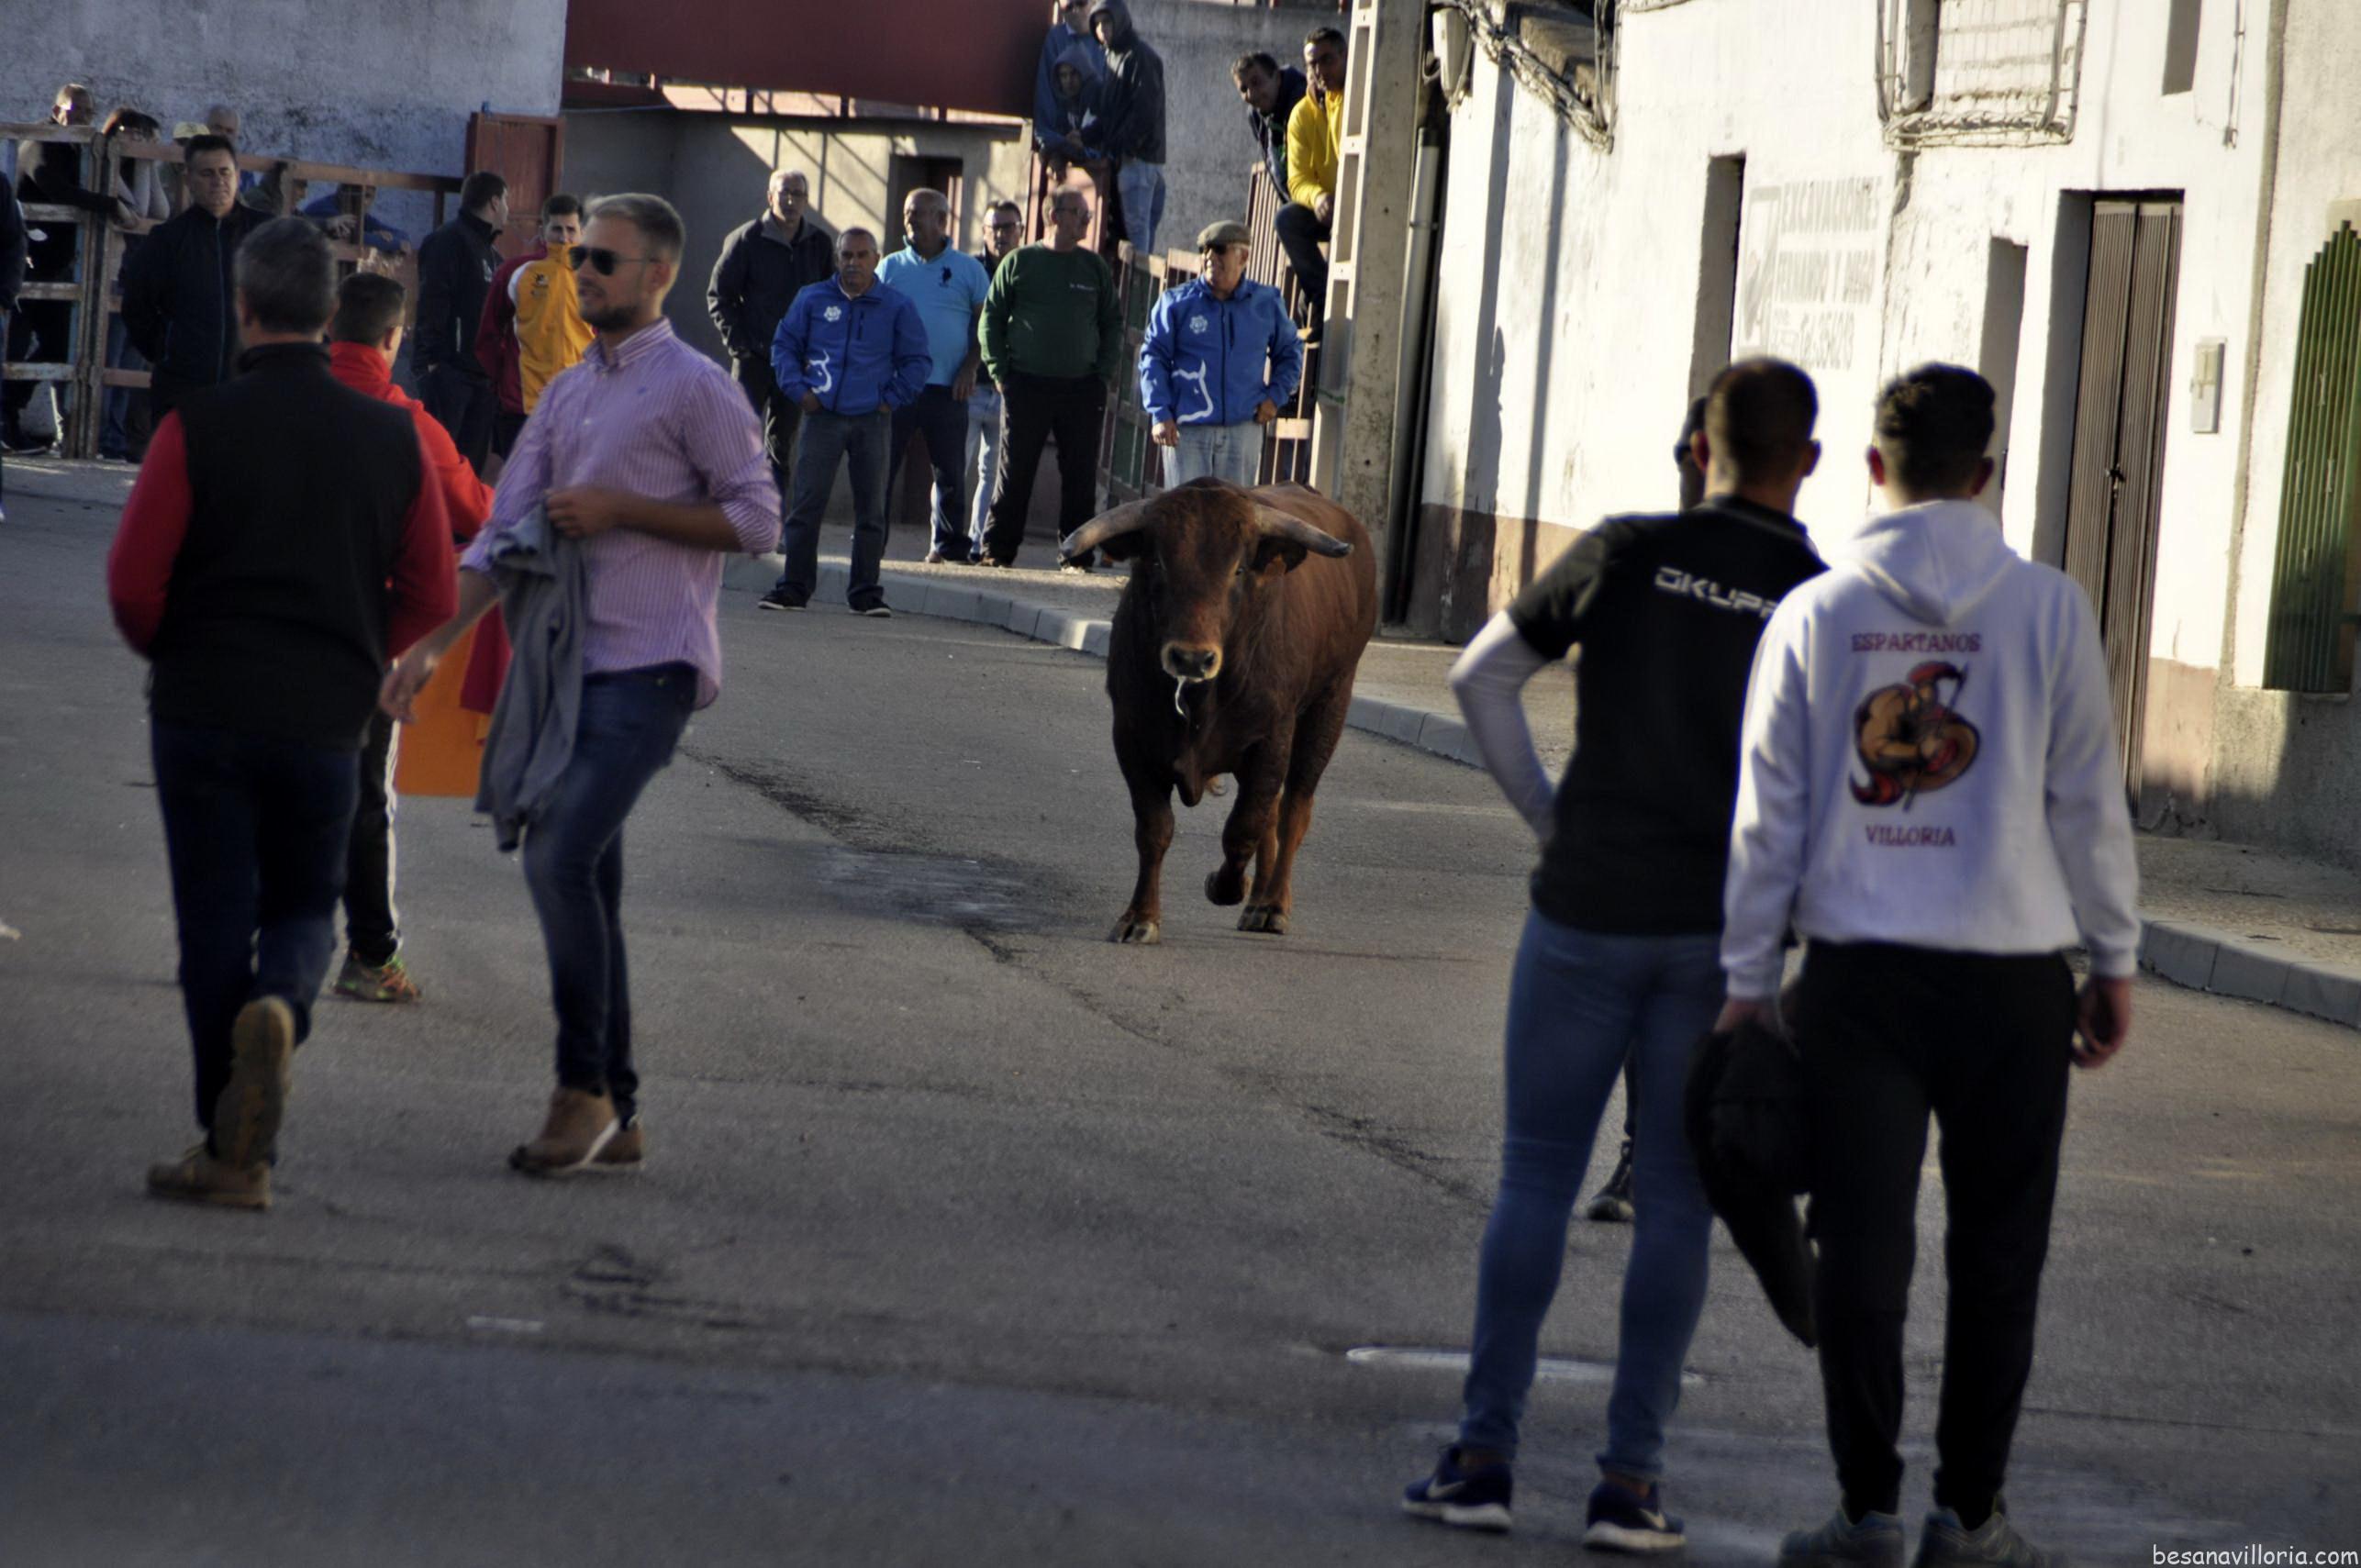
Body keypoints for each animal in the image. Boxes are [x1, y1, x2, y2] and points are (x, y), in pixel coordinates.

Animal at [1061, 479, 1379, 943]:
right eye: (1158, 562)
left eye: (1239, 570)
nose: (1192, 659)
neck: (1200, 700)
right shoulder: (1133, 740)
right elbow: (1155, 829)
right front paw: (1140, 917)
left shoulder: (1271, 739)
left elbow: (1243, 829)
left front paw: (1226, 886)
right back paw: (1258, 900)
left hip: (1328, 706)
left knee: (1293, 810)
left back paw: (1271, 904)